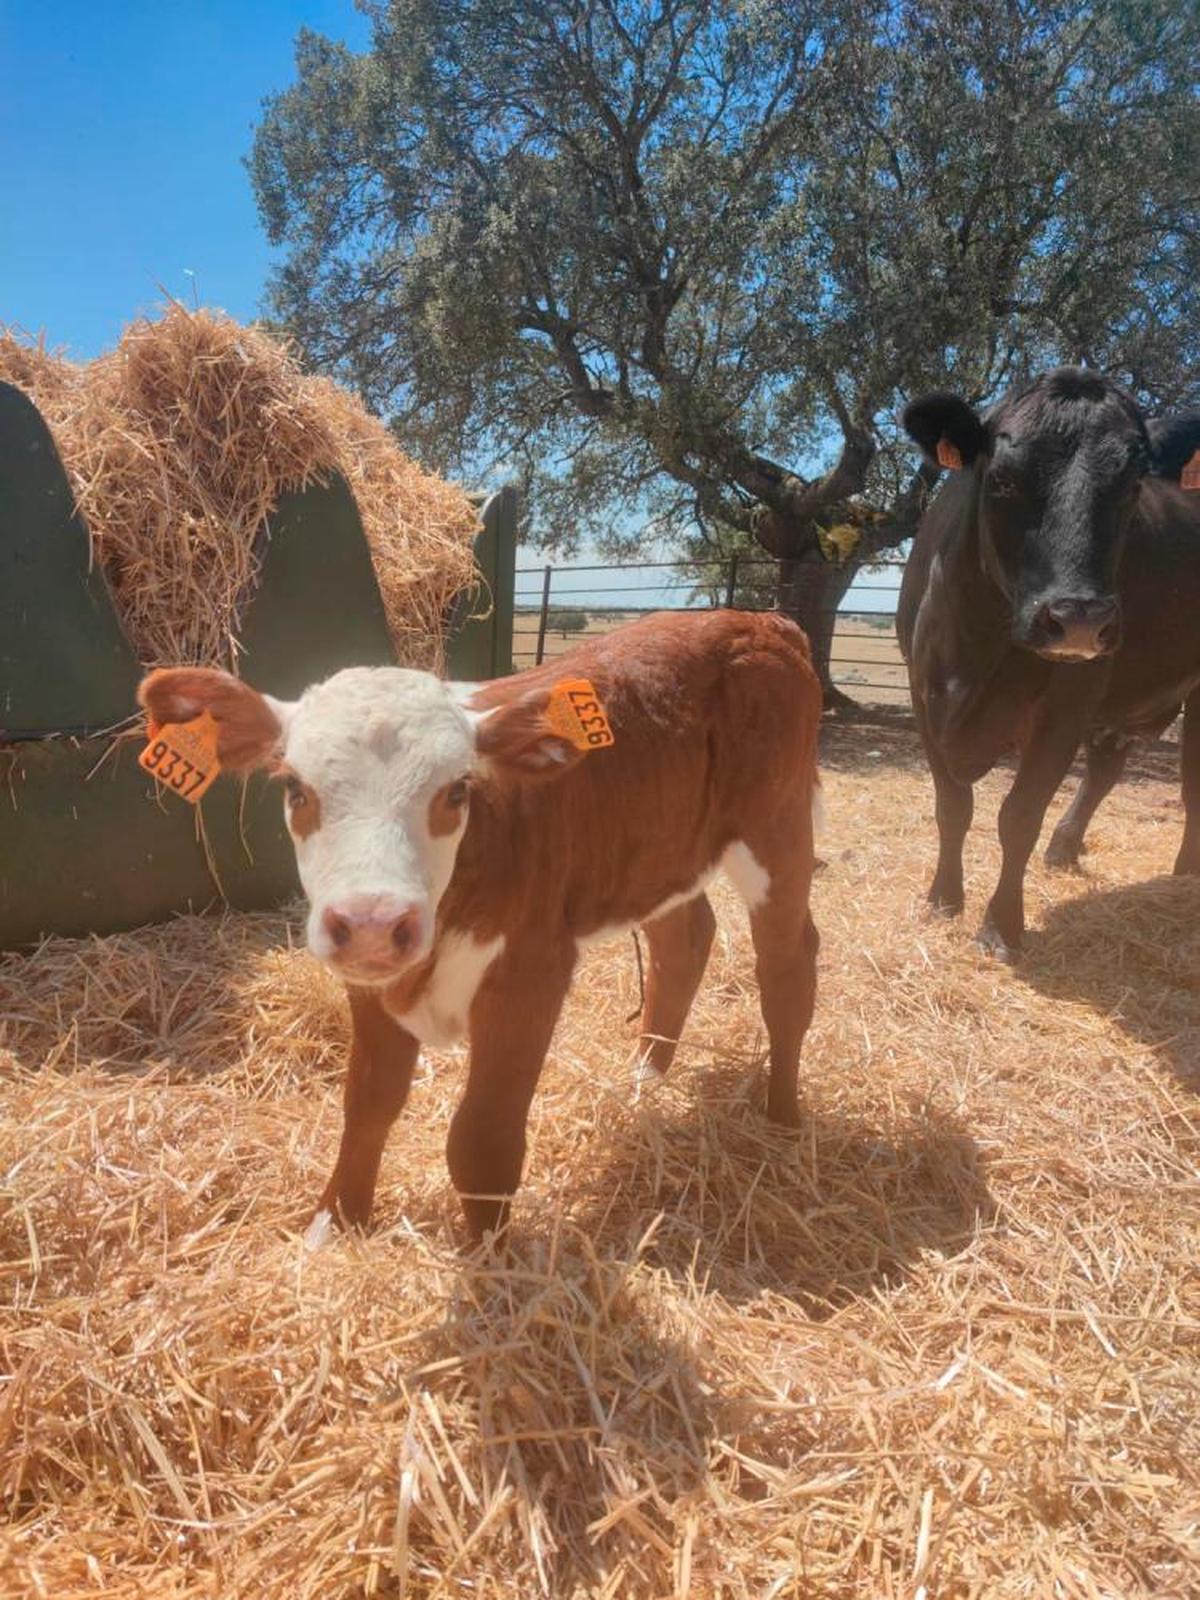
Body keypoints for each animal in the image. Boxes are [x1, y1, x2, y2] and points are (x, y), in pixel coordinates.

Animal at [136, 604, 825, 1241]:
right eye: (294, 789)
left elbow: (481, 1140)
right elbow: (367, 1103)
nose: (372, 922)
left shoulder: (531, 973)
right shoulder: (371, 982)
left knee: (789, 964)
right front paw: (333, 1225)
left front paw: (491, 1260)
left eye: (456, 791)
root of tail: (757, 618)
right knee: (683, 942)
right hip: (657, 855)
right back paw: (645, 1083)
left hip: (779, 829)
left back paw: (784, 1121)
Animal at [896, 366, 1200, 953]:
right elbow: (952, 808)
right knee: (1106, 768)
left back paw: (1185, 878)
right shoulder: (924, 697)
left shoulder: (1065, 708)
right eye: (1002, 479)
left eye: (1133, 487)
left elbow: (1019, 815)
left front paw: (1001, 926)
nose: (1079, 618)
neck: (978, 646)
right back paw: (1064, 850)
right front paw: (943, 901)